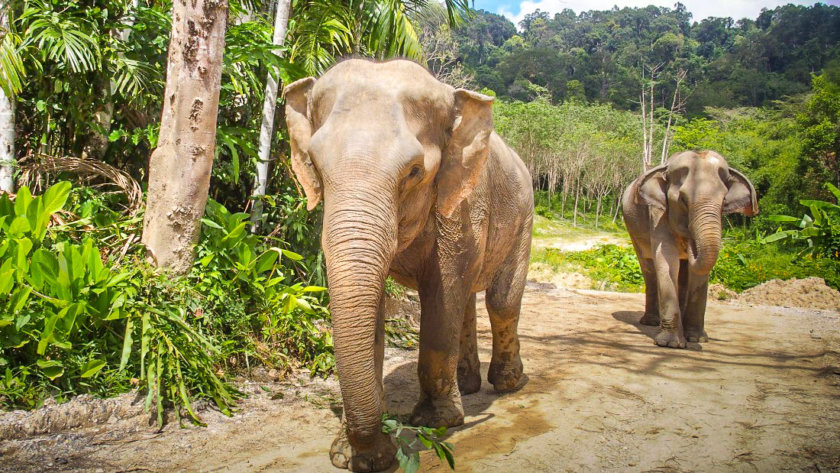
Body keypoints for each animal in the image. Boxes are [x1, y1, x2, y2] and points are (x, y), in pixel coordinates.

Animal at [282, 60, 532, 472]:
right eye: (314, 165)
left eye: (415, 171)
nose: (382, 449)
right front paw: (354, 456)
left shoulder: (462, 204)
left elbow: (442, 296)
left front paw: (436, 423)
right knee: (467, 302)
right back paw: (468, 387)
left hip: (524, 218)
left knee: (501, 300)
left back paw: (509, 384)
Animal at [620, 149, 756, 348]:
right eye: (683, 200)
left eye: (724, 200)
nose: (689, 241)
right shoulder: (658, 212)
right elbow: (667, 259)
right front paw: (671, 344)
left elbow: (697, 273)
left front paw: (697, 339)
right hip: (634, 231)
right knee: (649, 267)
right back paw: (651, 322)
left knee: (683, 273)